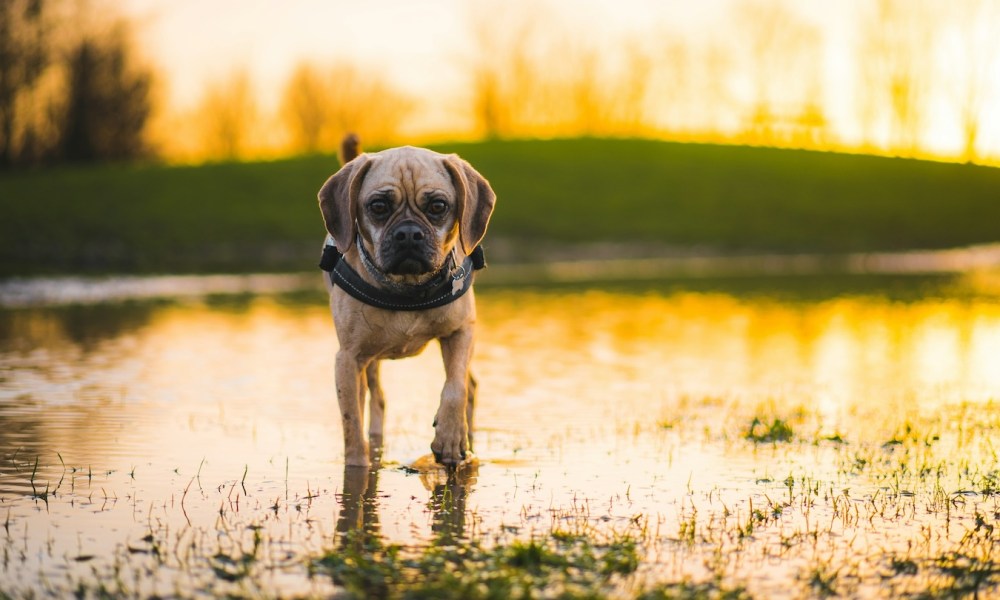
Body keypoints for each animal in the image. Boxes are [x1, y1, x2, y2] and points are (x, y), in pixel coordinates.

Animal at [316, 138, 496, 466]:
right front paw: (358, 466)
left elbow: (455, 388)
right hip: (367, 363)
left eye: (438, 206)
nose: (409, 234)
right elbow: (352, 425)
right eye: (378, 207)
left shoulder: (461, 331)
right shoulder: (347, 359)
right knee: (376, 400)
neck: (407, 290)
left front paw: (451, 438)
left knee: (470, 385)